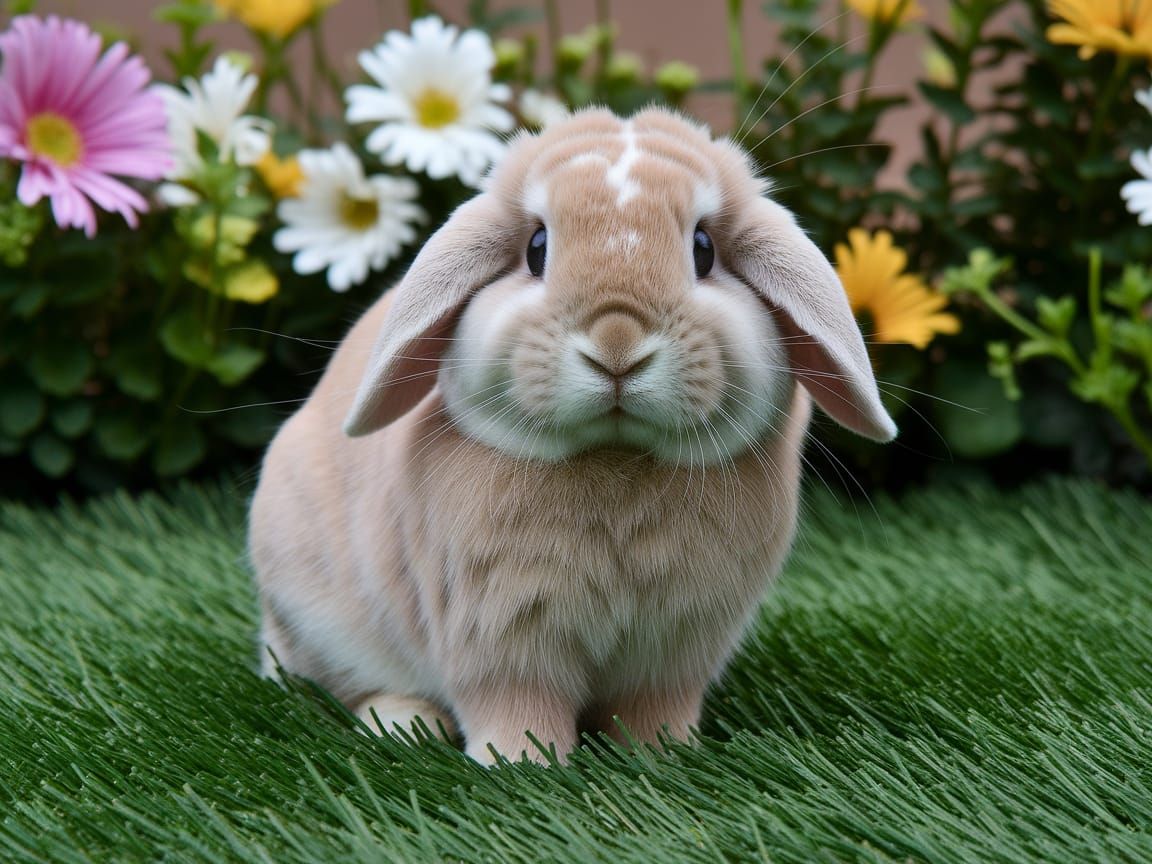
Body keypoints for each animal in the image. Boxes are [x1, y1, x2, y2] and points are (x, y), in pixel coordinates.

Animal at [248, 107, 896, 765]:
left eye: (704, 248)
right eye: (537, 247)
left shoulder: (672, 652)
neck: (616, 458)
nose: (617, 343)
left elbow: (652, 710)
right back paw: (402, 722)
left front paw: (666, 754)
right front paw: (522, 764)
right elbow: (517, 707)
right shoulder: (500, 639)